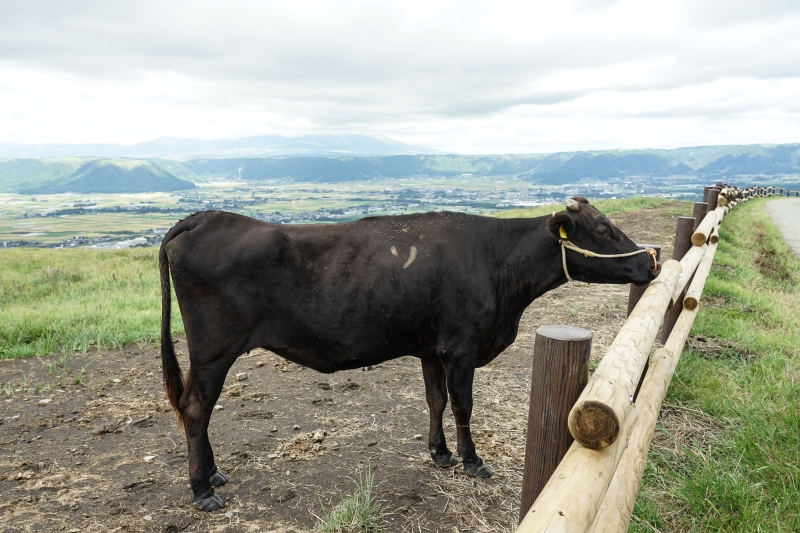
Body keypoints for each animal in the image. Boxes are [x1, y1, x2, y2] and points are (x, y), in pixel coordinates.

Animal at [159, 195, 660, 508]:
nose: (650, 261)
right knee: (195, 407)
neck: (498, 265)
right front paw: (472, 460)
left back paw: (213, 474)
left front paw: (440, 453)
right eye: (602, 229)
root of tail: (204, 217)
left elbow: (435, 400)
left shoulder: (431, 349)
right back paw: (202, 490)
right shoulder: (460, 346)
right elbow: (462, 404)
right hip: (214, 350)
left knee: (193, 407)